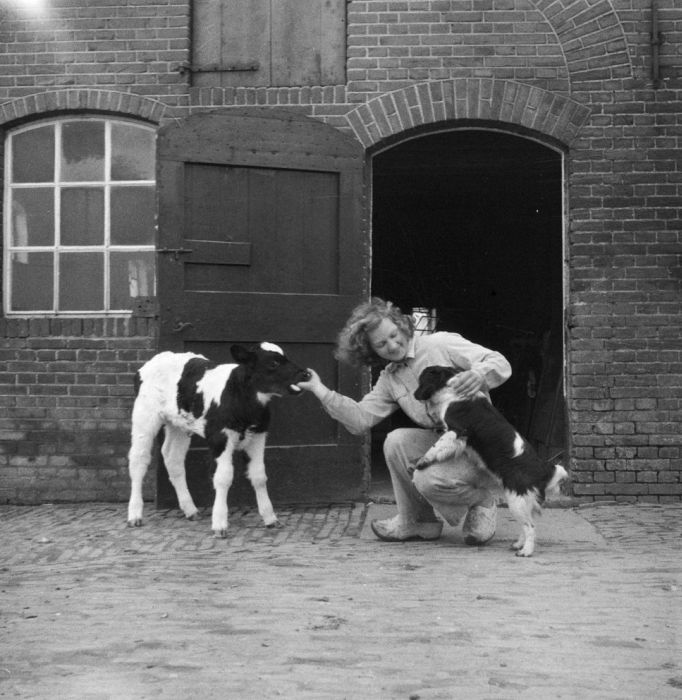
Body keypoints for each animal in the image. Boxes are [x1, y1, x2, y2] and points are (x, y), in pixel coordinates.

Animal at [126, 344, 310, 536]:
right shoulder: (219, 438)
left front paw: (270, 518)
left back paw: (190, 510)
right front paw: (220, 524)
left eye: (286, 358)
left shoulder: (259, 436)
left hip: (179, 424)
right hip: (144, 417)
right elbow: (223, 477)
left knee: (172, 457)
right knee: (138, 459)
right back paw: (135, 515)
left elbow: (259, 475)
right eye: (273, 363)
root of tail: (156, 359)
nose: (305, 374)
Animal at [412, 366, 564, 556]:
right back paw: (518, 545)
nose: (414, 394)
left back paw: (526, 551)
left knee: (530, 527)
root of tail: (543, 469)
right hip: (519, 501)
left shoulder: (458, 430)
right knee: (526, 525)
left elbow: (437, 446)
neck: (451, 387)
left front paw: (422, 461)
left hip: (518, 499)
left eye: (421, 380)